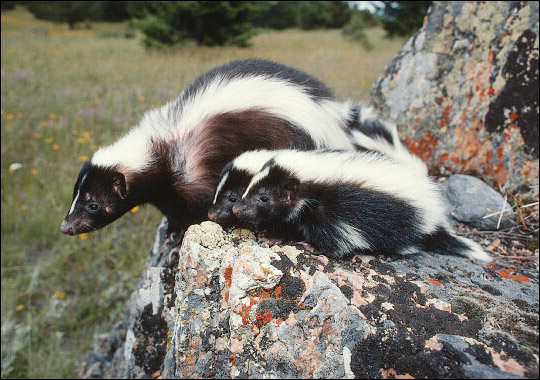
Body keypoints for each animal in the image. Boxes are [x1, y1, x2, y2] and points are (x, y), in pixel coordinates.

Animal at [59, 58, 358, 236]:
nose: (65, 226)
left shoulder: (193, 170)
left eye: (94, 205)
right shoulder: (167, 190)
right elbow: (173, 209)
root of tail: (332, 118)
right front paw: (172, 233)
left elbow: (198, 205)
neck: (159, 146)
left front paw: (182, 236)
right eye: (75, 197)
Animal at [231, 148, 490, 262]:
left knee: (406, 242)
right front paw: (271, 235)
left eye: (264, 198)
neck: (311, 181)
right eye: (248, 189)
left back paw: (391, 253)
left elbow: (338, 238)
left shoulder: (339, 211)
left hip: (401, 220)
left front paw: (312, 247)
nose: (237, 209)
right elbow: (290, 223)